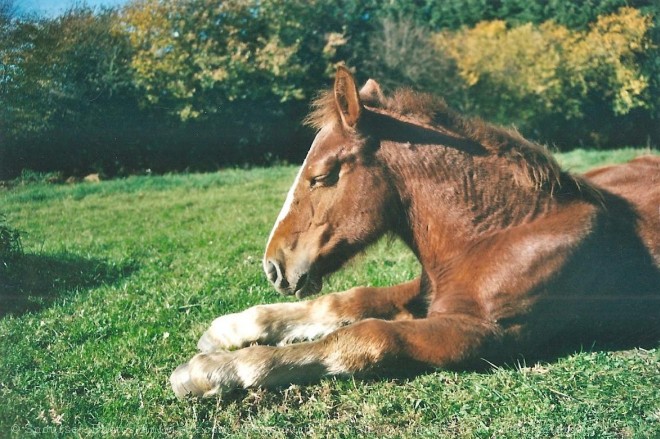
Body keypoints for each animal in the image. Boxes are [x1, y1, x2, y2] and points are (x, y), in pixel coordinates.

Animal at [171, 66, 660, 398]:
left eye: (322, 176)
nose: (274, 267)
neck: (502, 233)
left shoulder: (485, 334)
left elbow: (368, 336)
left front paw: (210, 370)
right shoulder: (426, 288)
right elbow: (347, 302)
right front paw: (229, 330)